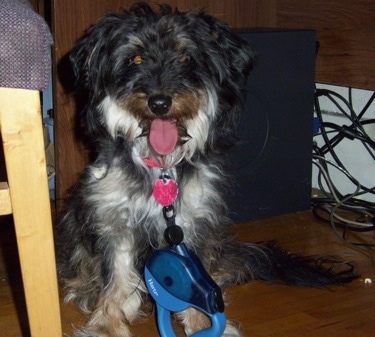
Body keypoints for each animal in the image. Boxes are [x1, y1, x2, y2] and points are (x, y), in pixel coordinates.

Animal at [56, 3, 358, 336]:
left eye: (185, 58)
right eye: (135, 58)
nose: (159, 103)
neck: (162, 166)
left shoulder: (190, 221)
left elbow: (195, 280)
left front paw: (202, 323)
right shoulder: (115, 219)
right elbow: (118, 279)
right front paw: (109, 325)